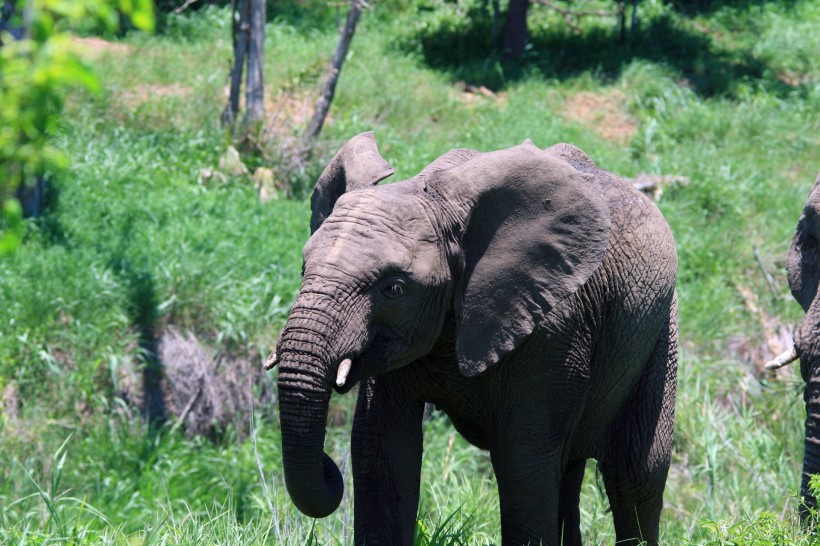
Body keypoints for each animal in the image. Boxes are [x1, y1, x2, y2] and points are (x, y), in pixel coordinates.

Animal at [270, 132, 680, 544]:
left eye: (394, 288)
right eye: (304, 268)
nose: (327, 467)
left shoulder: (553, 330)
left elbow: (522, 464)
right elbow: (382, 450)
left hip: (661, 330)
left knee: (635, 476)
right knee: (570, 471)